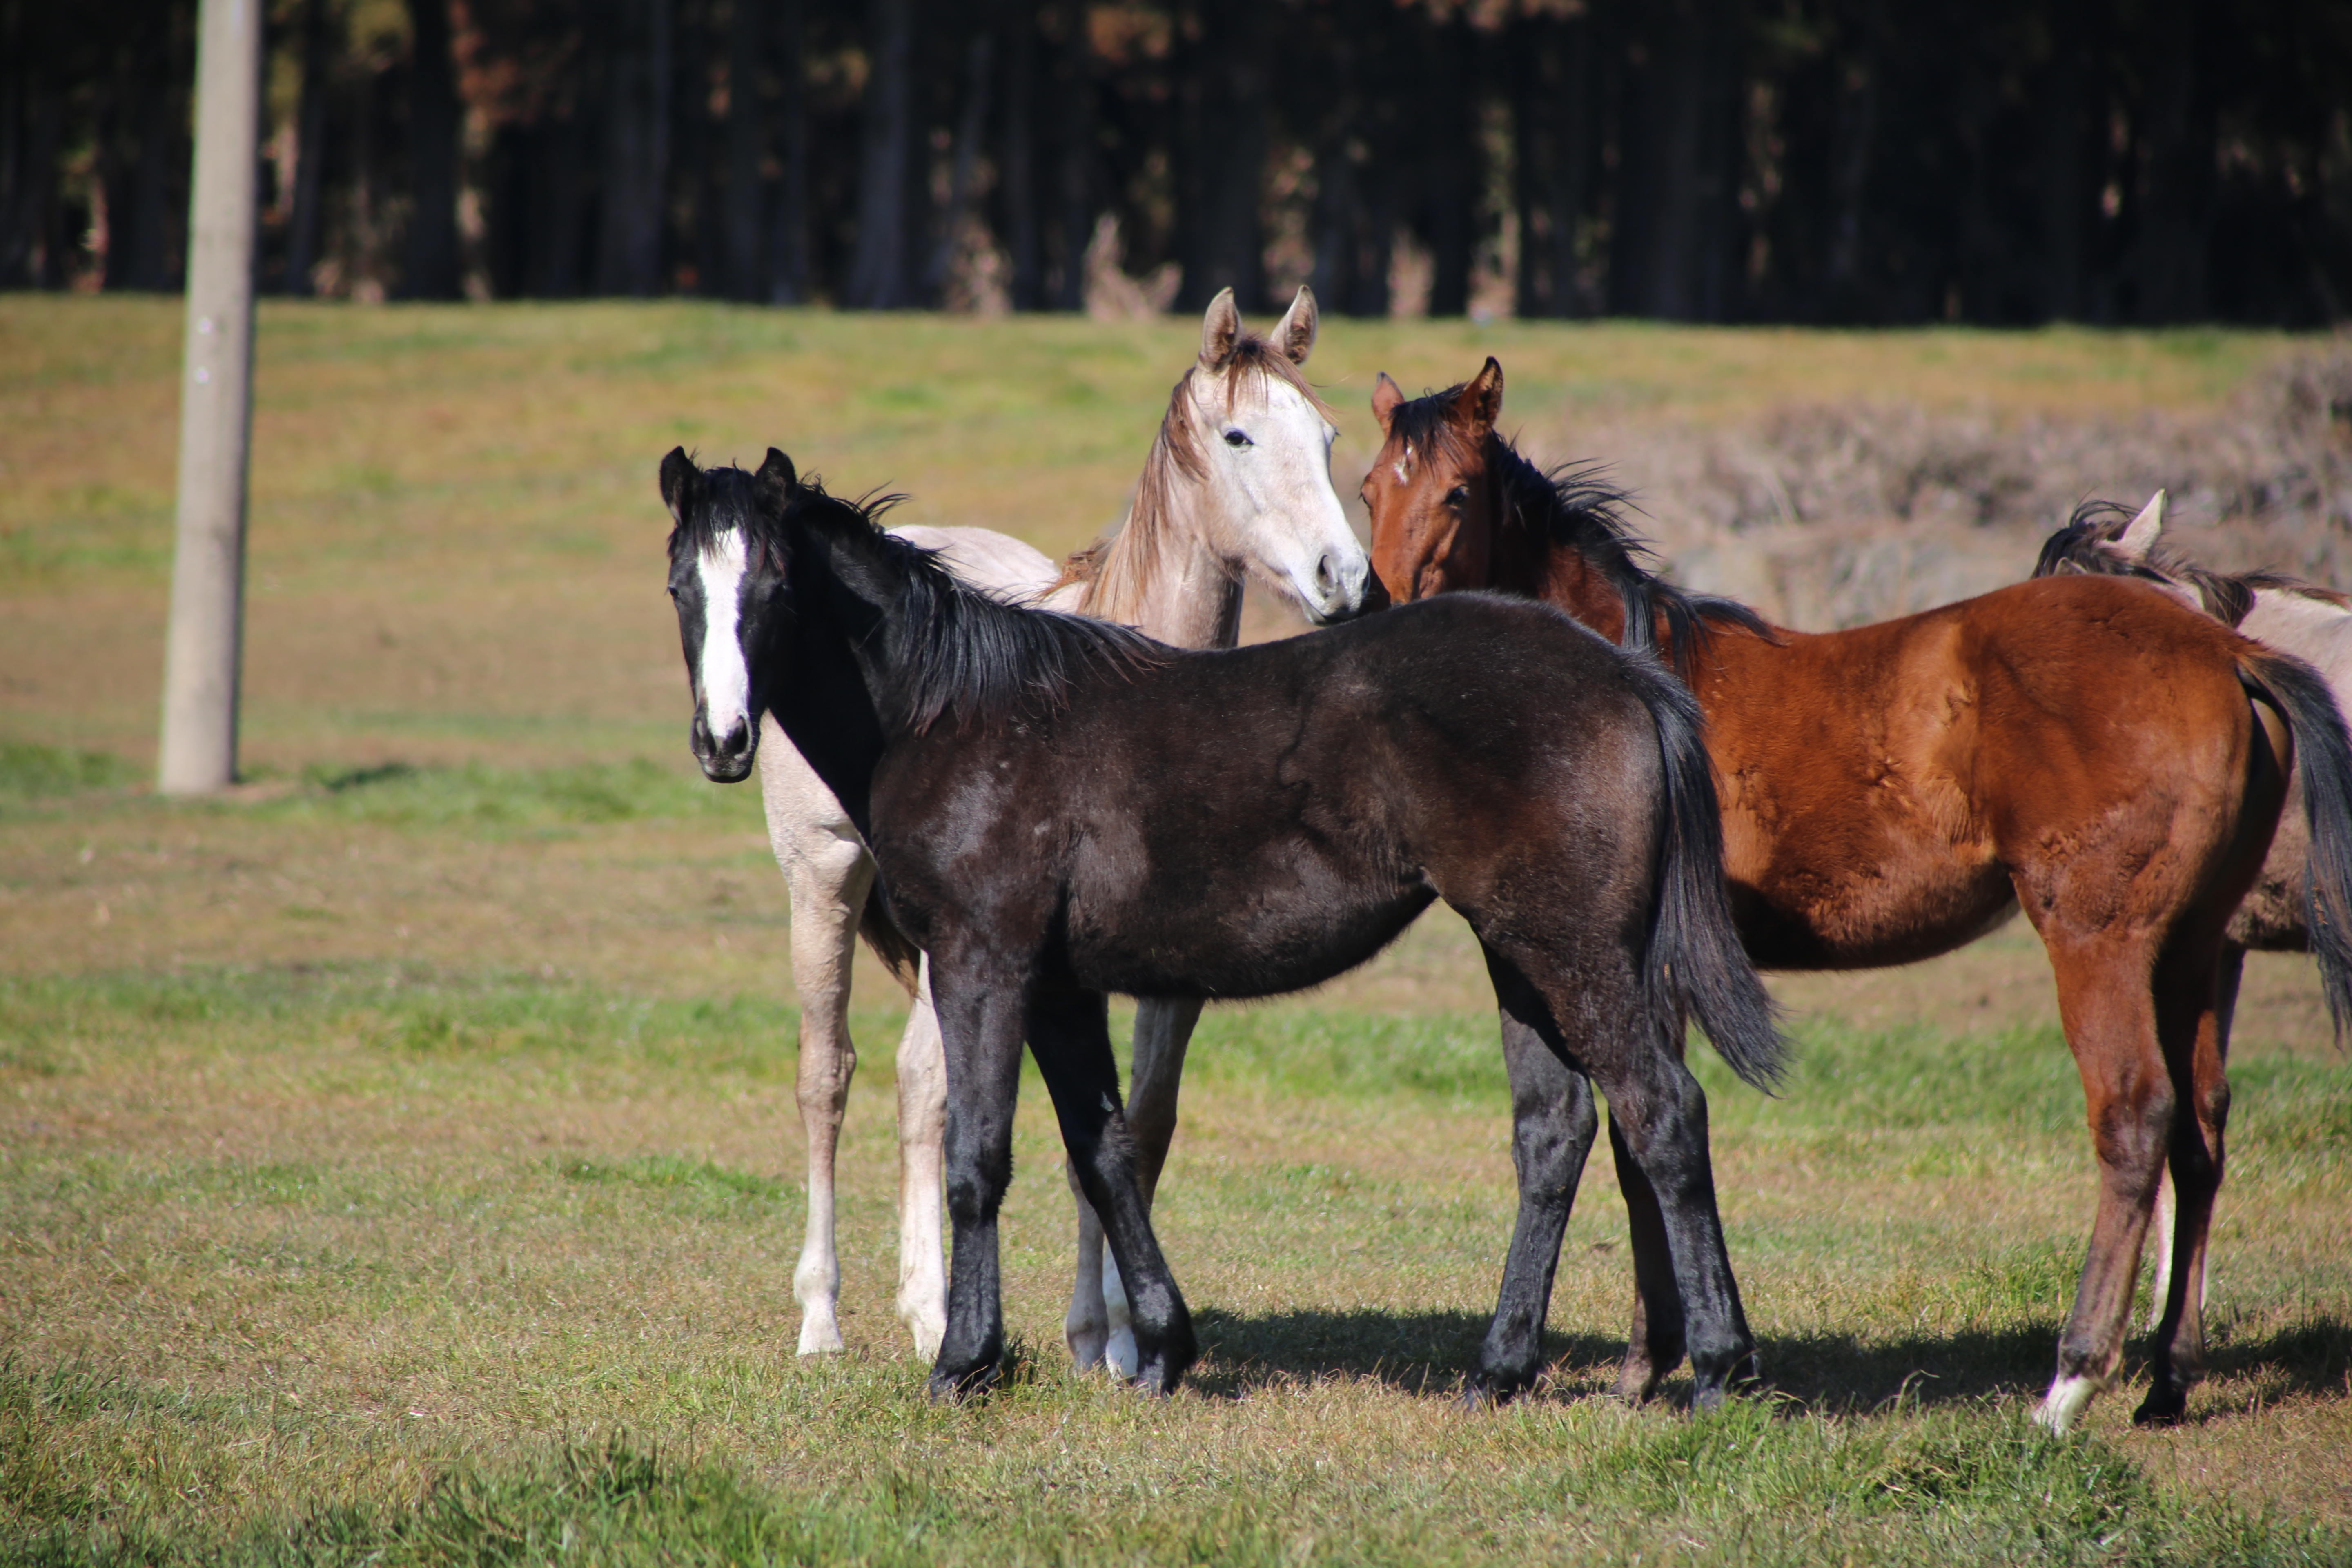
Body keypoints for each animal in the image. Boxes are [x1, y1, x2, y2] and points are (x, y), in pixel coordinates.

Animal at [663, 444, 1778, 1410]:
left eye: (774, 585)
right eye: (682, 587)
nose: (722, 742)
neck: (956, 713)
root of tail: (1626, 676)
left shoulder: (985, 964)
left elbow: (979, 1158)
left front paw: (964, 1362)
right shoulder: (1060, 987)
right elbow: (1105, 1151)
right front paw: (1159, 1349)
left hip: (1572, 954)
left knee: (1662, 1113)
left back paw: (1721, 1369)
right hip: (1522, 958)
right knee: (1554, 1132)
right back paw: (1499, 1371)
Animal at [748, 288, 1373, 1363]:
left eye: (1328, 437)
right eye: (1239, 434)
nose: (1344, 578)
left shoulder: (1159, 975)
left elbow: (1131, 1128)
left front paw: (1109, 1337)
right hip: (824, 882)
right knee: (838, 1076)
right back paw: (841, 1318)